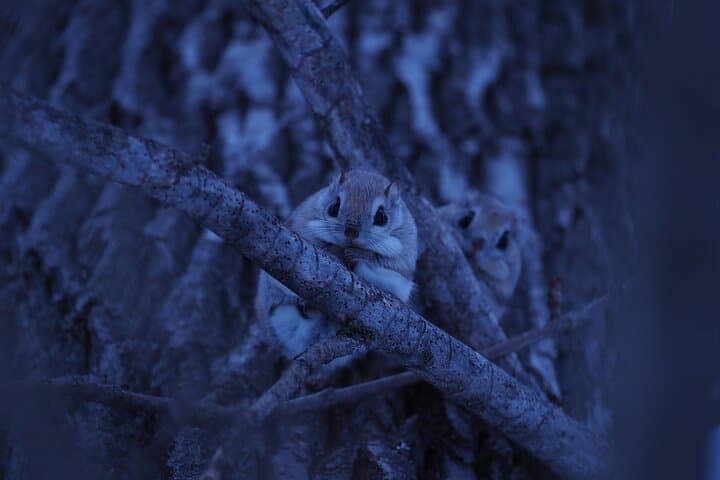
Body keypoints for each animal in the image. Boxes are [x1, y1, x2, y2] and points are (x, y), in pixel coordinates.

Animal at [255, 169, 418, 358]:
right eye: (334, 207)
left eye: (381, 217)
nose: (351, 232)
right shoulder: (302, 227)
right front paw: (337, 252)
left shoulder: (403, 257)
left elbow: (381, 261)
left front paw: (357, 254)